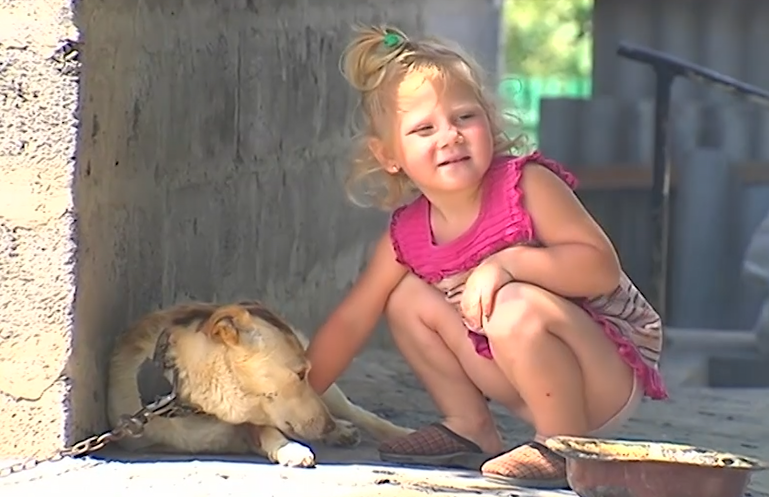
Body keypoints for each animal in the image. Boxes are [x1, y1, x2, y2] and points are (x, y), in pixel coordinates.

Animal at [106, 298, 414, 464]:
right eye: (299, 374)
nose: (327, 425)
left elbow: (267, 430)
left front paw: (291, 448)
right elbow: (266, 431)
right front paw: (292, 447)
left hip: (331, 394)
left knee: (360, 413)